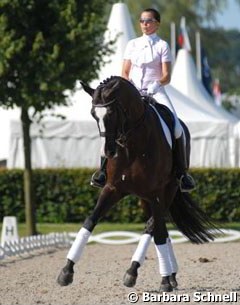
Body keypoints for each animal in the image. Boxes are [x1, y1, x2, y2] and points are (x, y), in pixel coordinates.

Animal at [57, 75, 216, 290]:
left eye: (111, 112)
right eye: (93, 114)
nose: (107, 152)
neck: (132, 144)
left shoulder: (156, 193)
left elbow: (157, 232)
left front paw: (160, 280)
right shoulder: (112, 189)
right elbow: (90, 221)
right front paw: (67, 270)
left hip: (168, 190)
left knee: (154, 226)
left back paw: (148, 273)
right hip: (144, 198)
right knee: (157, 225)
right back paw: (170, 275)